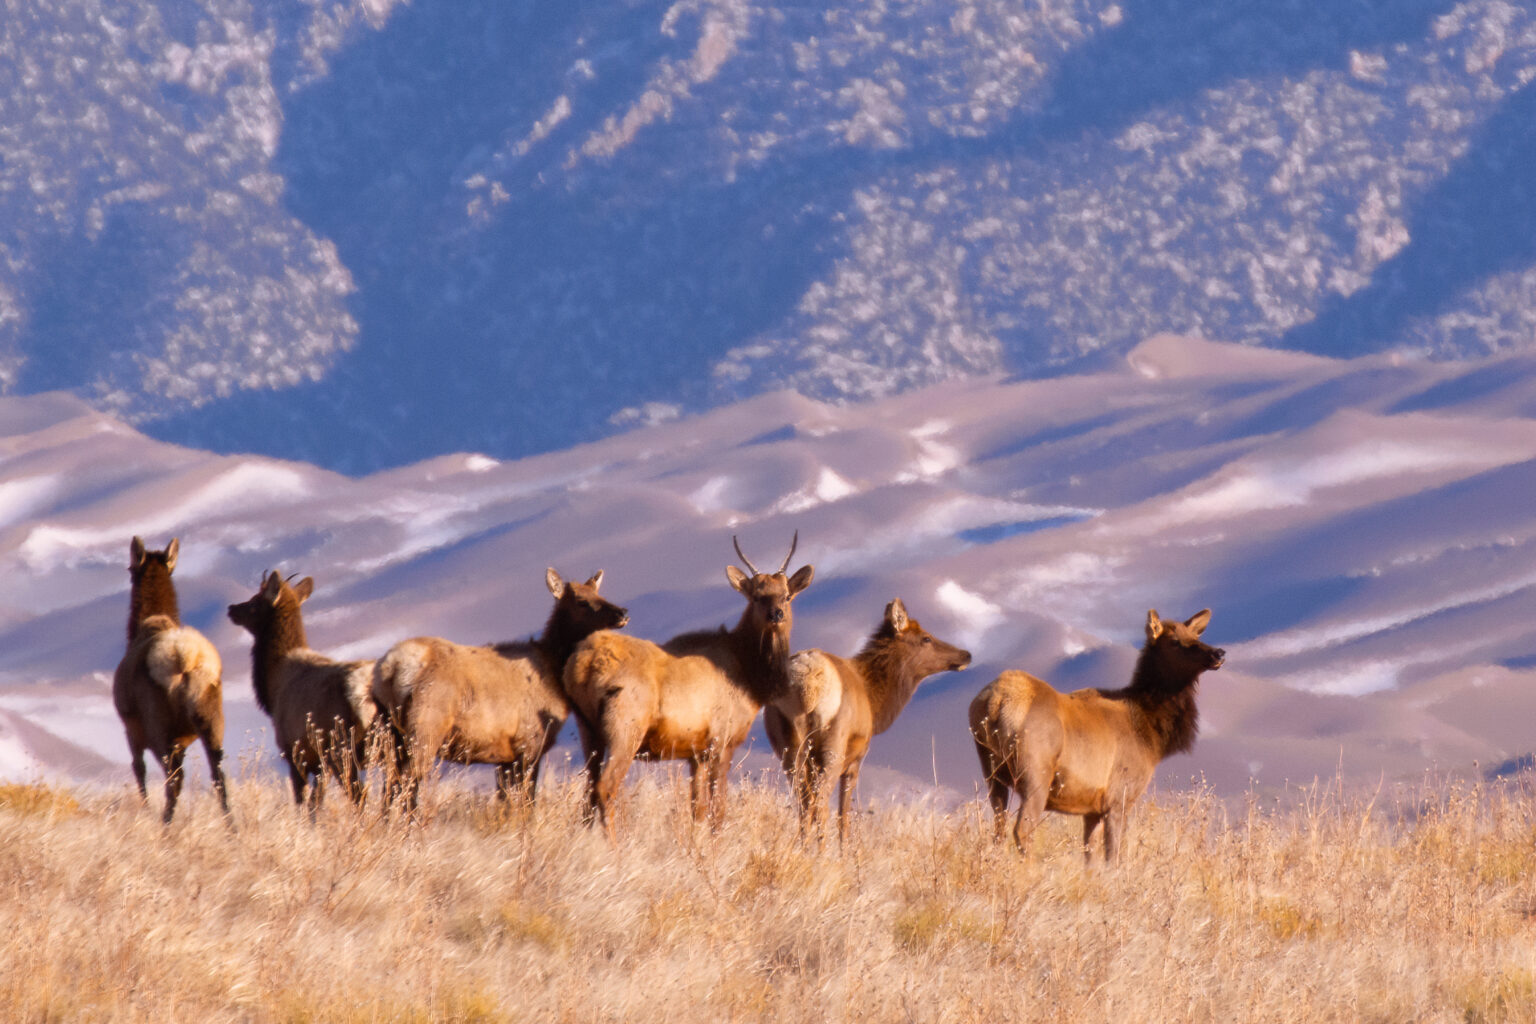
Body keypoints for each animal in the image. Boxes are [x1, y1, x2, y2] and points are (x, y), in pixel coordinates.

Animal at [227, 571, 377, 811]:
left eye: (255, 602)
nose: (232, 608)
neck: (273, 687)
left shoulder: (294, 753)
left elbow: (303, 803)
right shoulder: (319, 764)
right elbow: (316, 803)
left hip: (341, 749)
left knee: (359, 796)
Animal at [371, 568, 628, 810]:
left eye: (599, 593)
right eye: (582, 601)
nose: (623, 612)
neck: (554, 675)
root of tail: (392, 667)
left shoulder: (505, 756)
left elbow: (505, 805)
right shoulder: (529, 743)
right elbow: (526, 804)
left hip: (389, 731)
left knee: (390, 785)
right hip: (426, 727)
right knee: (406, 783)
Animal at [563, 533, 814, 836]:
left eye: (786, 595)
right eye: (756, 596)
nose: (776, 614)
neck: (750, 679)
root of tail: (581, 665)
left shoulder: (697, 754)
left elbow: (698, 811)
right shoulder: (721, 741)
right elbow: (718, 812)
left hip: (588, 729)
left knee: (588, 791)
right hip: (625, 726)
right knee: (605, 787)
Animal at [765, 598, 971, 842]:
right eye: (926, 638)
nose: (966, 654)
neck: (875, 701)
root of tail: (806, 686)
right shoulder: (855, 758)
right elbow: (844, 817)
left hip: (788, 748)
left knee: (804, 804)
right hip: (832, 748)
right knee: (820, 804)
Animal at [969, 608, 1224, 863]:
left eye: (1196, 636)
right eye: (1175, 641)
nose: (1218, 652)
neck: (1150, 734)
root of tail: (995, 701)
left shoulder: (1091, 807)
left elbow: (1090, 857)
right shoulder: (1119, 796)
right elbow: (1114, 856)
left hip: (991, 771)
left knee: (998, 831)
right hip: (1035, 772)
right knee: (1022, 829)